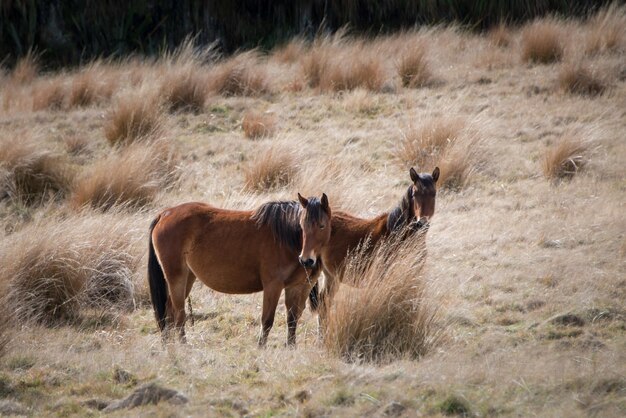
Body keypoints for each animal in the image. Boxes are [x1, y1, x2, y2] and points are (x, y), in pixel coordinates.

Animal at [147, 194, 332, 348]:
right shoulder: (273, 286)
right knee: (178, 314)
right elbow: (267, 320)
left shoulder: (295, 287)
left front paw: (291, 348)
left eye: (322, 226)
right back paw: (182, 346)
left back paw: (168, 346)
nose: (306, 260)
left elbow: (292, 320)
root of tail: (165, 213)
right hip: (176, 277)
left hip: (188, 277)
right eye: (302, 226)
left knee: (169, 312)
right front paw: (261, 348)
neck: (286, 238)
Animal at [304, 167, 438, 326]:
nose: (421, 223)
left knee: (324, 305)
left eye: (434, 194)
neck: (398, 233)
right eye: (415, 193)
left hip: (331, 276)